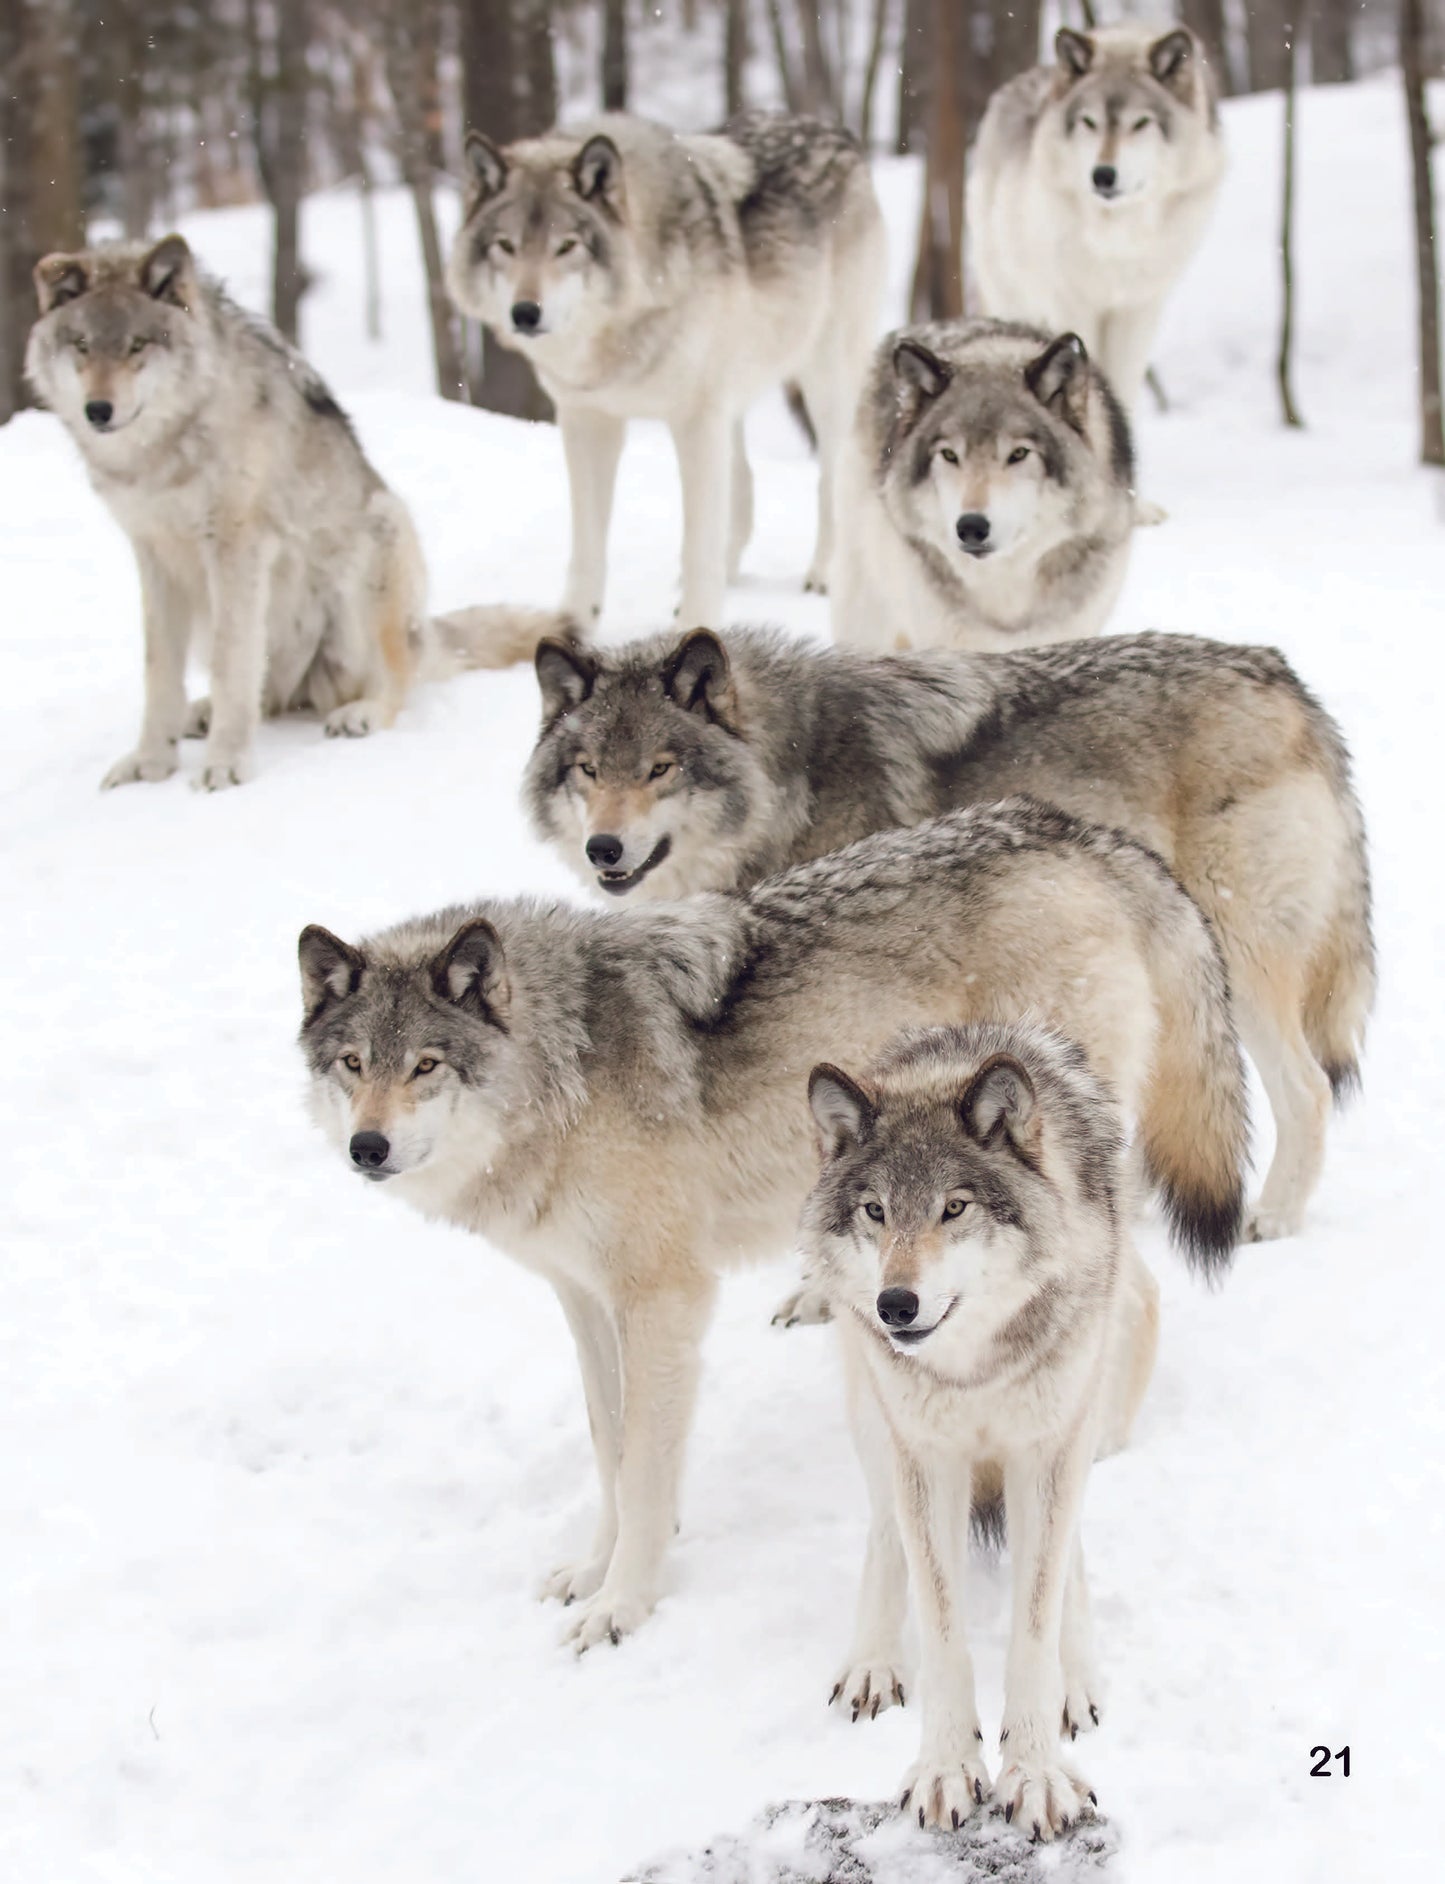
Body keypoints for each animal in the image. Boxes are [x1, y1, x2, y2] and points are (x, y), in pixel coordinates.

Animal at [299, 800, 1249, 1651]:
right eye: (353, 1065)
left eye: (426, 1065)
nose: (365, 1147)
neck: (563, 1067)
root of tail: (1087, 835)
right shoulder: (584, 1296)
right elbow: (609, 1448)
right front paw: (593, 1570)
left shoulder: (663, 1298)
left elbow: (642, 1467)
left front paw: (623, 1606)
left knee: (1133, 1296)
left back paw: (1100, 1443)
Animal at [445, 109, 885, 628]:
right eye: (506, 246)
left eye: (567, 246)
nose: (525, 313)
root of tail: (832, 128)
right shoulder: (587, 420)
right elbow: (587, 543)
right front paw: (572, 625)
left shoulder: (695, 422)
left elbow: (696, 546)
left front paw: (695, 626)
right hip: (733, 400)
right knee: (742, 482)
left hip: (825, 380)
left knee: (829, 477)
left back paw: (822, 573)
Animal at [526, 625, 1373, 1243]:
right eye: (587, 769)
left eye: (661, 768)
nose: (604, 849)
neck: (788, 779)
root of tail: (1279, 674)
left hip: (1233, 964)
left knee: (1305, 1089)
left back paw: (1272, 1218)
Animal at [802, 1022, 1147, 1835]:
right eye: (875, 1211)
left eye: (954, 1208)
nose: (896, 1304)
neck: (975, 1369)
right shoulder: (927, 1456)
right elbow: (942, 1628)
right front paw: (946, 1770)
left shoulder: (1047, 1444)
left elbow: (1033, 1622)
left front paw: (1036, 1774)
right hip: (872, 1406)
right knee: (884, 1528)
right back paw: (872, 1662)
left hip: (1085, 1400)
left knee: (1066, 1554)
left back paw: (1076, 1677)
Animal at [968, 25, 1226, 412]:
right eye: (1089, 122)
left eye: (1140, 123)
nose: (1103, 175)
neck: (1115, 240)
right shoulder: (1073, 303)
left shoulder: (1137, 309)